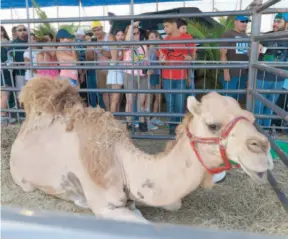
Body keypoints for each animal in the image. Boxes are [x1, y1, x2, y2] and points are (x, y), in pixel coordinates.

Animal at [10, 76, 274, 224]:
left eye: (251, 117)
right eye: (212, 125)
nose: (262, 149)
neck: (123, 162)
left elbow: (171, 203)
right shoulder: (105, 205)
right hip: (23, 180)